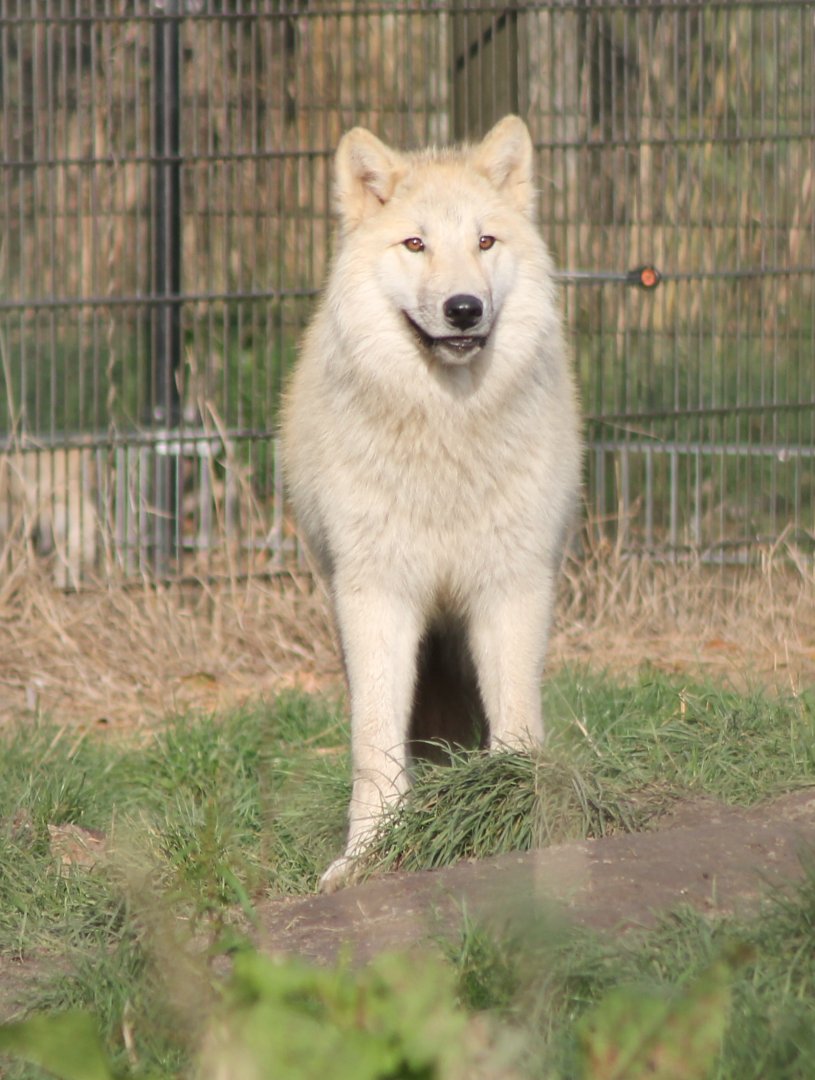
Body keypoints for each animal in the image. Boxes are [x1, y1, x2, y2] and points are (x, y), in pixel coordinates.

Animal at [281, 116, 582, 891]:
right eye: (415, 244)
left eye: (485, 242)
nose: (463, 308)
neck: (448, 437)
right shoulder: (376, 598)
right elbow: (374, 745)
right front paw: (367, 856)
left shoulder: (510, 587)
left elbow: (516, 724)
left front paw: (516, 822)